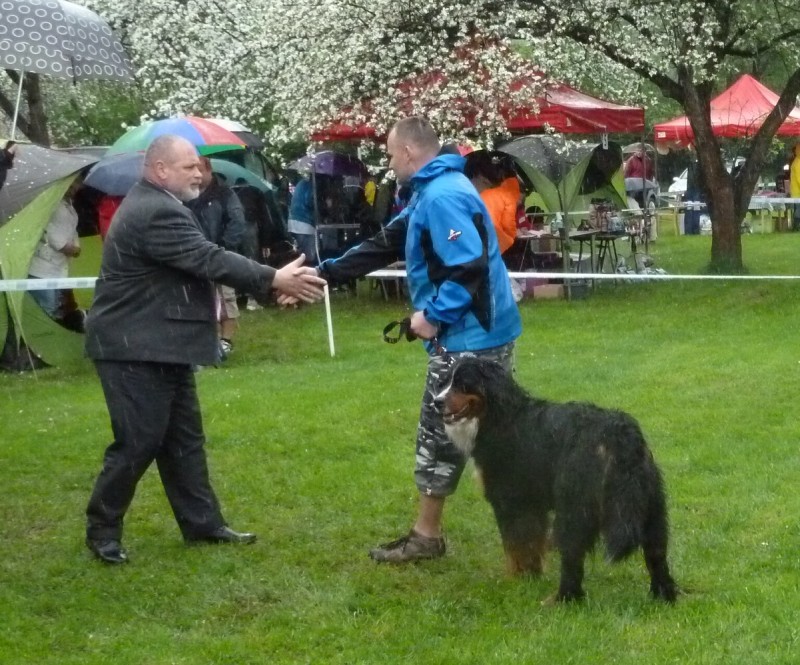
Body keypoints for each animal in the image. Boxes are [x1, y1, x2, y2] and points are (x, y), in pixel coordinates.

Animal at [438, 356, 676, 604]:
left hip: (575, 506)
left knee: (572, 555)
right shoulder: (532, 506)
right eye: (445, 382)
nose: (437, 402)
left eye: (463, 384)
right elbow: (531, 545)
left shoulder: (511, 501)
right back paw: (663, 595)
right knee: (657, 554)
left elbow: (515, 545)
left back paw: (563, 598)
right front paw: (531, 576)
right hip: (651, 506)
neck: (498, 416)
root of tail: (619, 434)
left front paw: (517, 579)